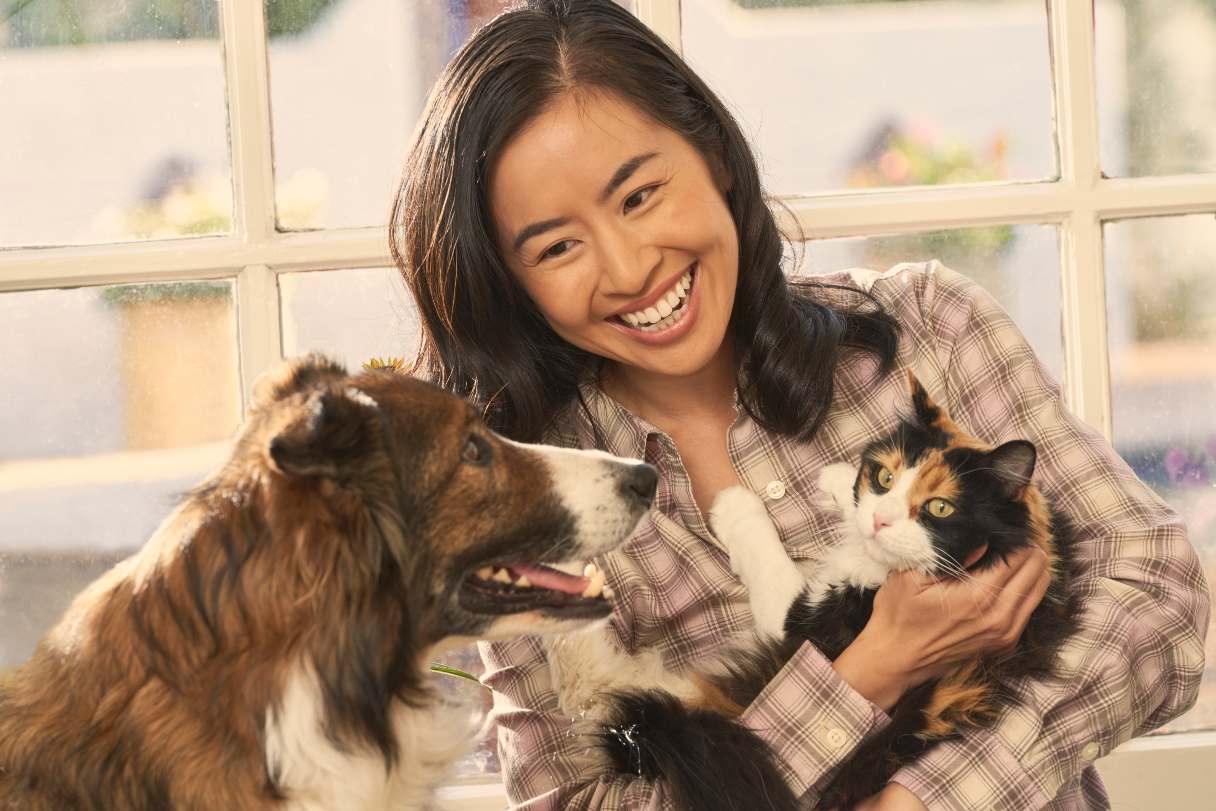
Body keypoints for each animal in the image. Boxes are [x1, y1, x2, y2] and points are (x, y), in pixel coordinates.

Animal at [593, 376, 1079, 811]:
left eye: (940, 507)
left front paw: (733, 502)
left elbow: (761, 545)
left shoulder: (802, 623)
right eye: (884, 477)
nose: (881, 521)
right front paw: (840, 480)